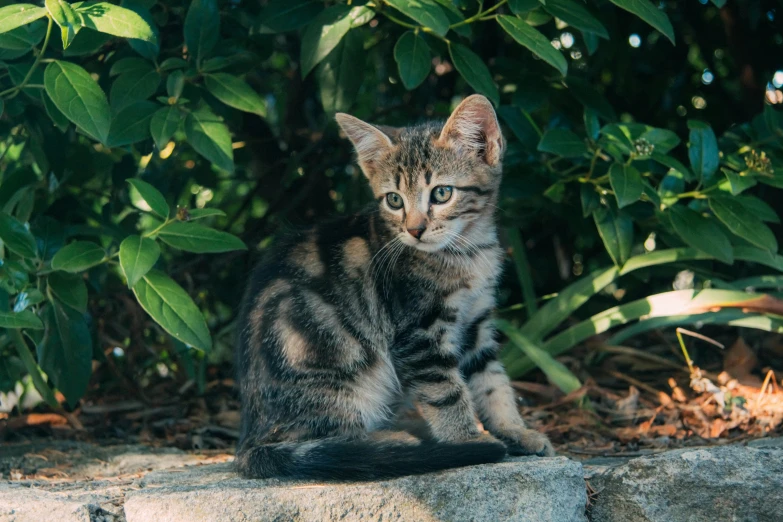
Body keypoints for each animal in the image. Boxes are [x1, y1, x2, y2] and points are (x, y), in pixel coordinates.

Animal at [236, 94, 556, 480]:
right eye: (394, 200)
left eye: (442, 193)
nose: (415, 229)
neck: (467, 253)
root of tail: (250, 437)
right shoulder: (417, 333)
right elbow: (445, 392)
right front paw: (467, 441)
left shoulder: (476, 322)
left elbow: (493, 381)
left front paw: (515, 430)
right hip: (338, 363)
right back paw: (397, 442)